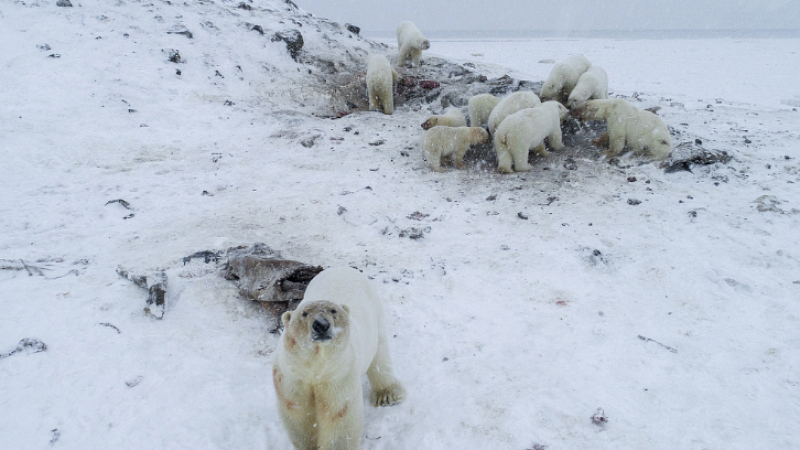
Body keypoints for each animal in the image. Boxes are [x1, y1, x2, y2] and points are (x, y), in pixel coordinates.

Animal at [274, 268, 406, 450]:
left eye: (333, 311)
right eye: (304, 313)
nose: (321, 325)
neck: (315, 365)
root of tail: (343, 268)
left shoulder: (338, 375)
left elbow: (339, 415)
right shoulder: (292, 376)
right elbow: (298, 412)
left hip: (375, 315)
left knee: (380, 353)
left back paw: (386, 395)